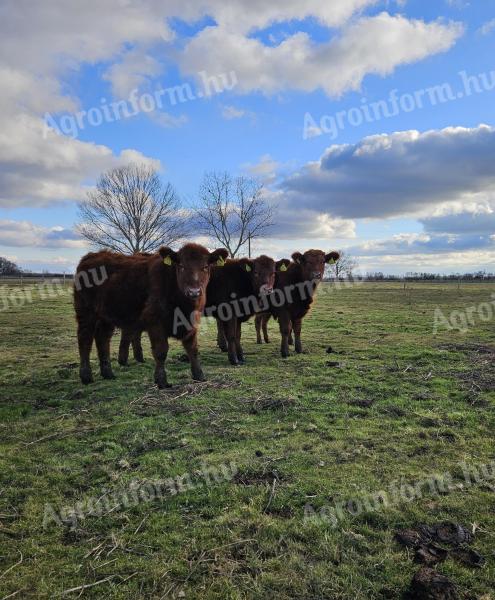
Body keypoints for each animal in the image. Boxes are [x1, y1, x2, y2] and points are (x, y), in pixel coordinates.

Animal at [73, 244, 229, 390]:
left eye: (205, 267)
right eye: (181, 266)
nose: (194, 292)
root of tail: (91, 256)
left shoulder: (192, 322)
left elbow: (193, 348)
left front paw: (199, 375)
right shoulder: (155, 321)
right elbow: (161, 351)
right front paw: (162, 381)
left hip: (106, 317)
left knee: (102, 339)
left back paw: (108, 374)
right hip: (86, 312)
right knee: (85, 340)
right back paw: (86, 376)